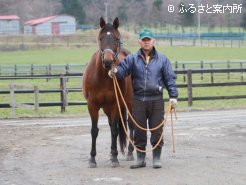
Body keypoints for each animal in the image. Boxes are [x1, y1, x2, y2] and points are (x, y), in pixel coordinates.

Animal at [82, 17, 133, 168]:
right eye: (101, 38)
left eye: (117, 38)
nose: (108, 61)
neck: (103, 76)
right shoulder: (92, 105)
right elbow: (94, 131)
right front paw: (92, 159)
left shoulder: (115, 104)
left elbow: (115, 131)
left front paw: (115, 158)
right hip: (107, 108)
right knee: (112, 125)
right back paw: (111, 154)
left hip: (129, 103)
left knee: (130, 125)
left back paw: (129, 153)